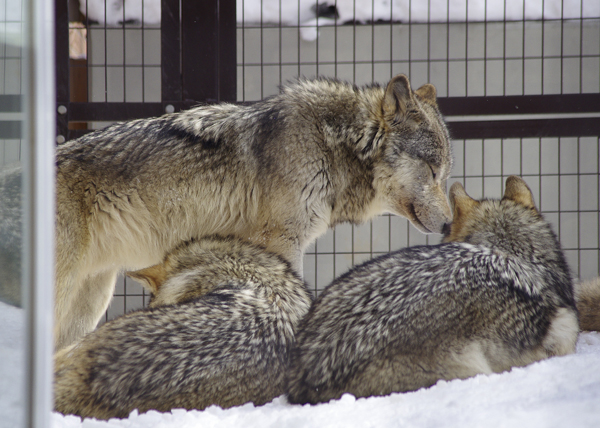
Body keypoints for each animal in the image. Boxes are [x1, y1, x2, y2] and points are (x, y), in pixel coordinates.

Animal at [51, 72, 452, 348]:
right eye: (433, 171)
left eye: (446, 173)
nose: (450, 224)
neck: (330, 143)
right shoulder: (282, 243)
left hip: (89, 305)